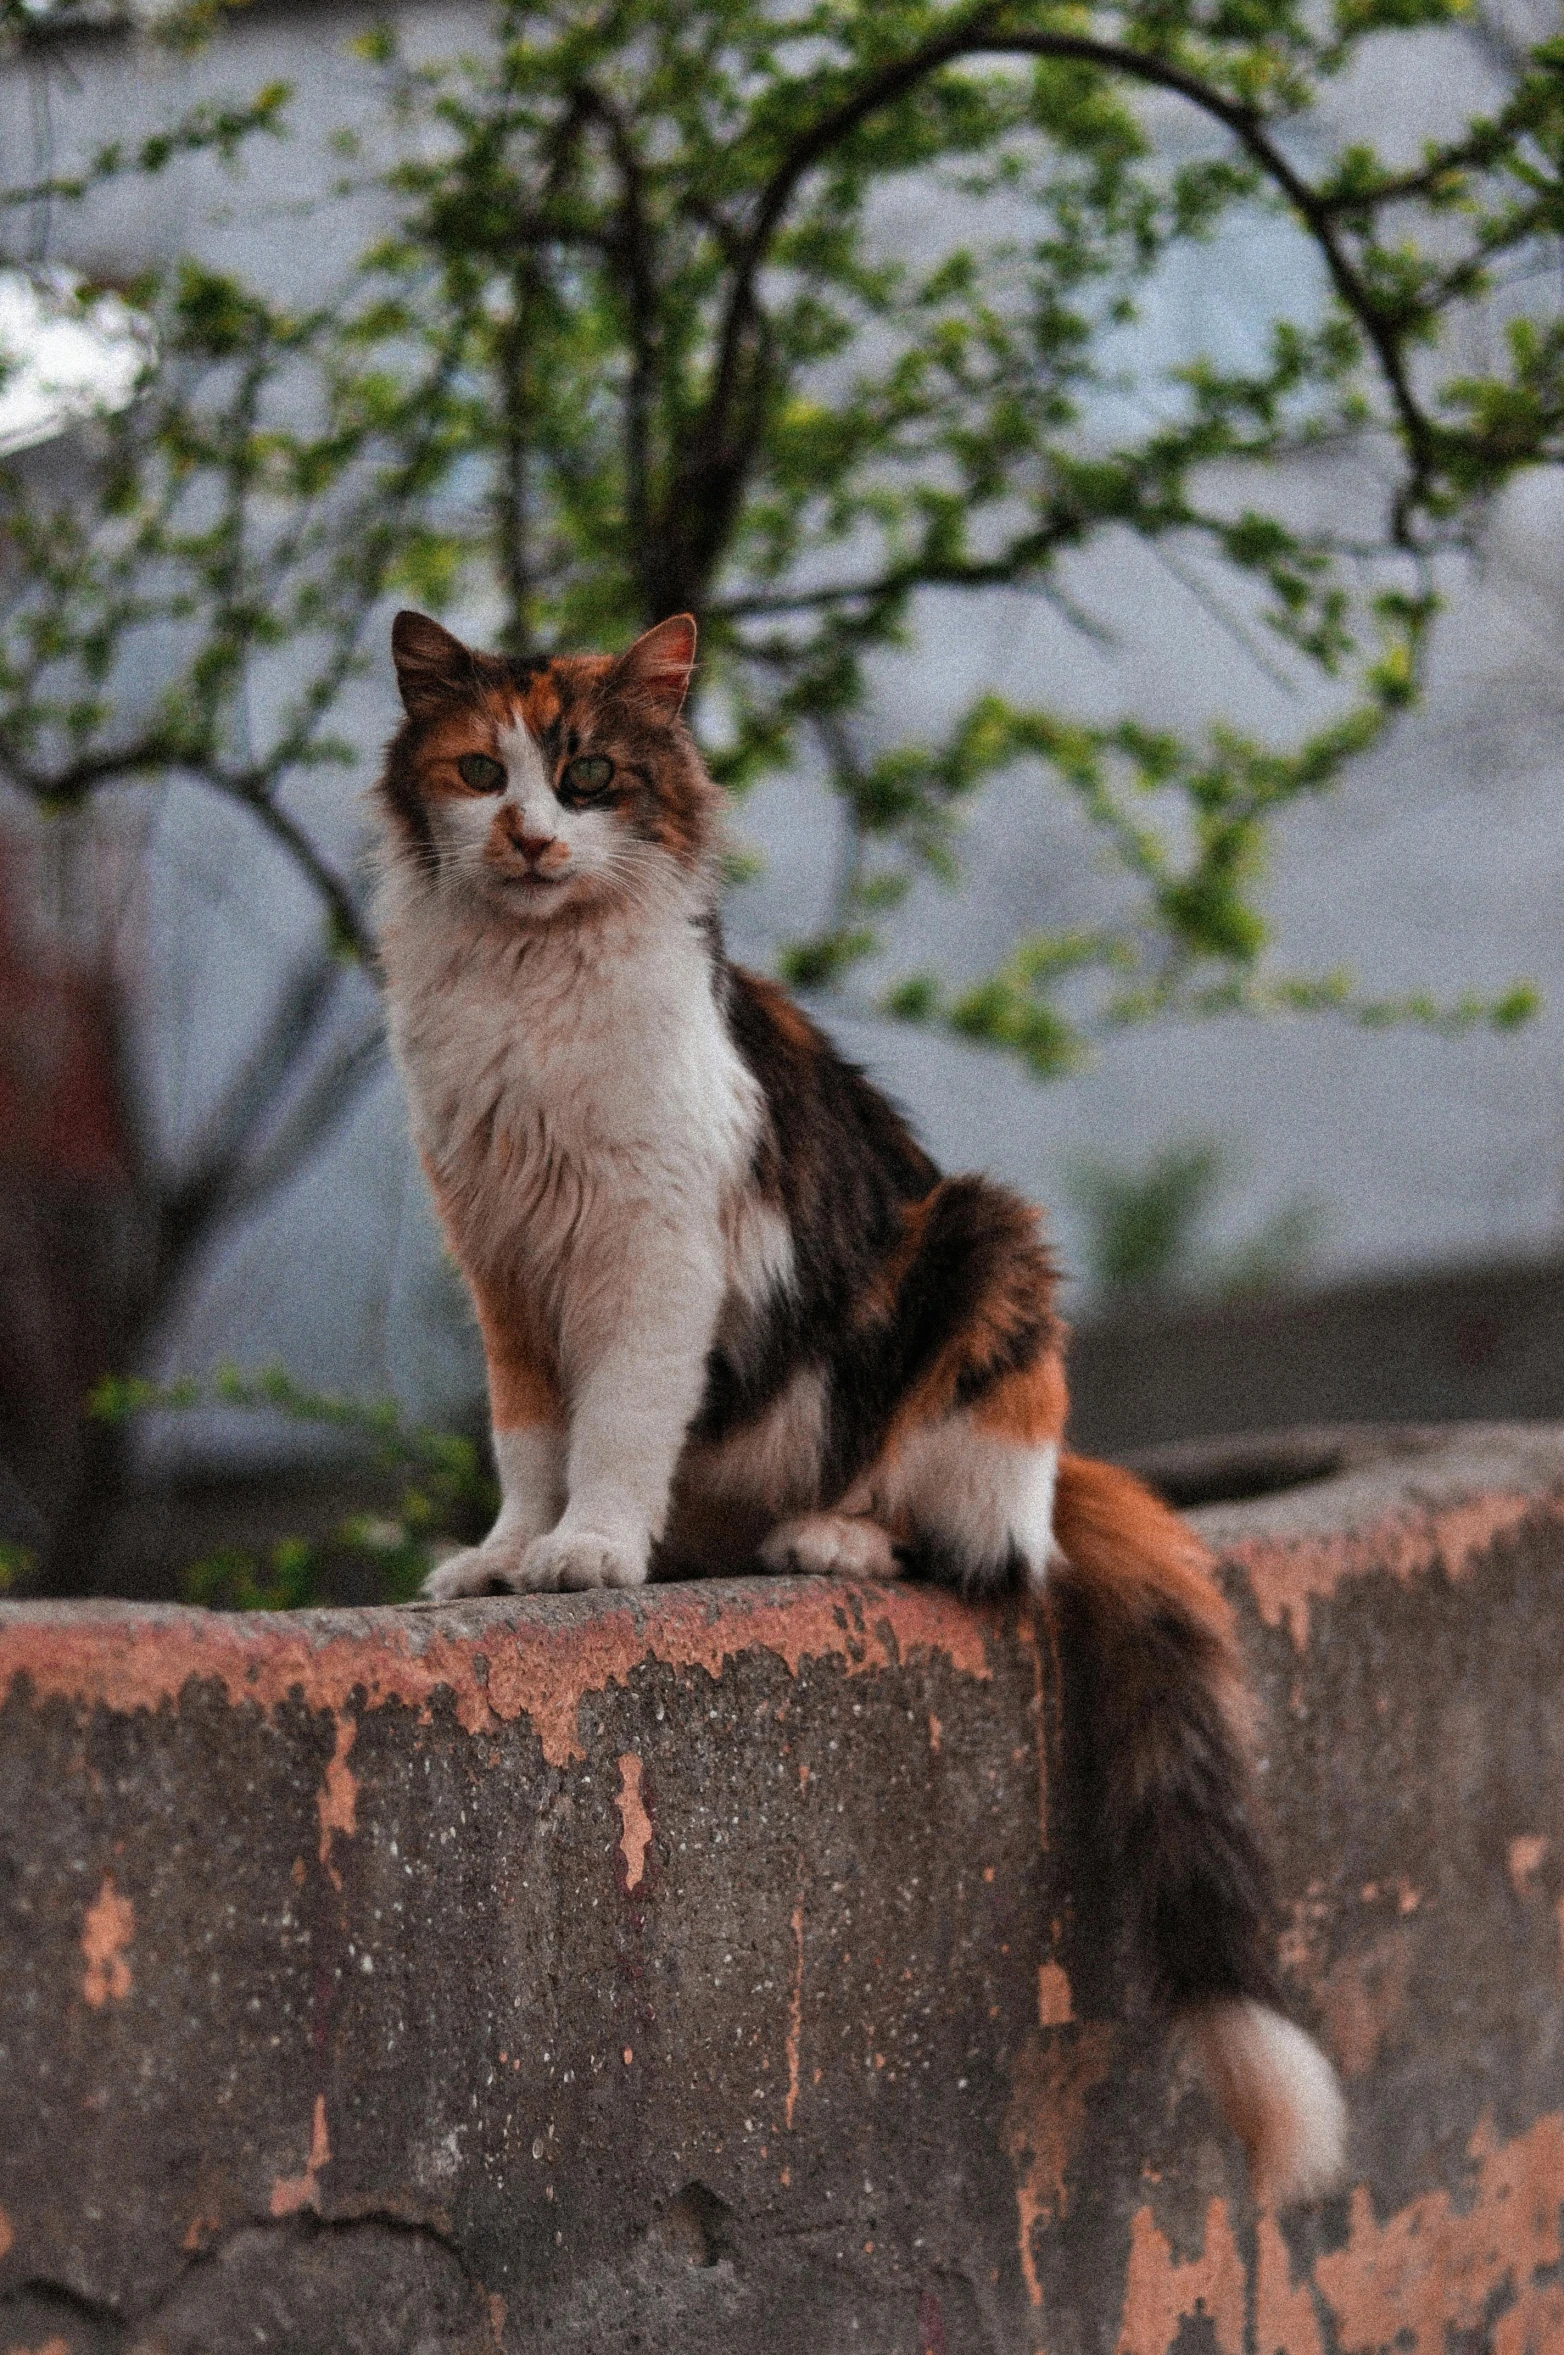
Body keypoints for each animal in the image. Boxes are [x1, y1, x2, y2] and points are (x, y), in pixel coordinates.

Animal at [369, 607, 1347, 2204]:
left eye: (585, 777)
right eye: (476, 772)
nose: (527, 836)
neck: (530, 980)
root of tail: (1062, 1454)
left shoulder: (653, 1245)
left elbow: (617, 1423)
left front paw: (590, 1553)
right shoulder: (499, 1261)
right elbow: (530, 1437)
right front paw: (505, 1558)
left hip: (983, 1245)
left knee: (981, 1550)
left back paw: (824, 1538)